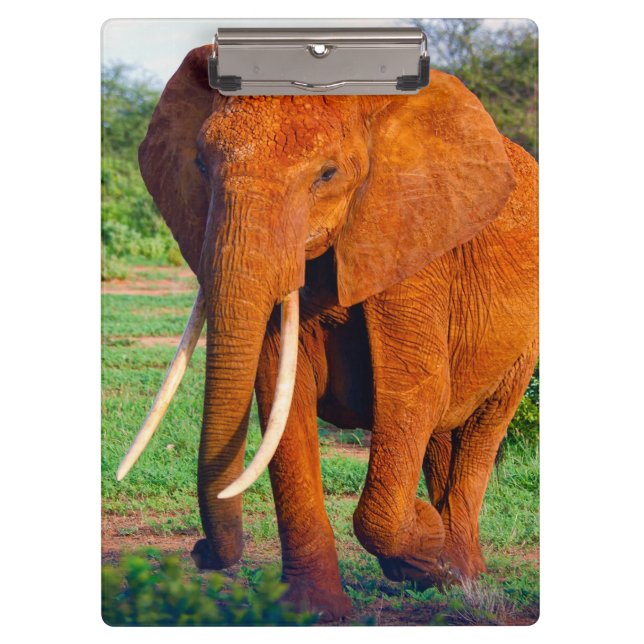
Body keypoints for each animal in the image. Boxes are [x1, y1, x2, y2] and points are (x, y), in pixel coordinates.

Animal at [117, 44, 538, 620]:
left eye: (327, 174)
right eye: (201, 165)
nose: (200, 552)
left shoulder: (411, 241)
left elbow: (413, 393)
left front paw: (422, 545)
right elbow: (281, 395)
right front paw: (315, 612)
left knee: (482, 426)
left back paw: (460, 577)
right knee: (442, 434)